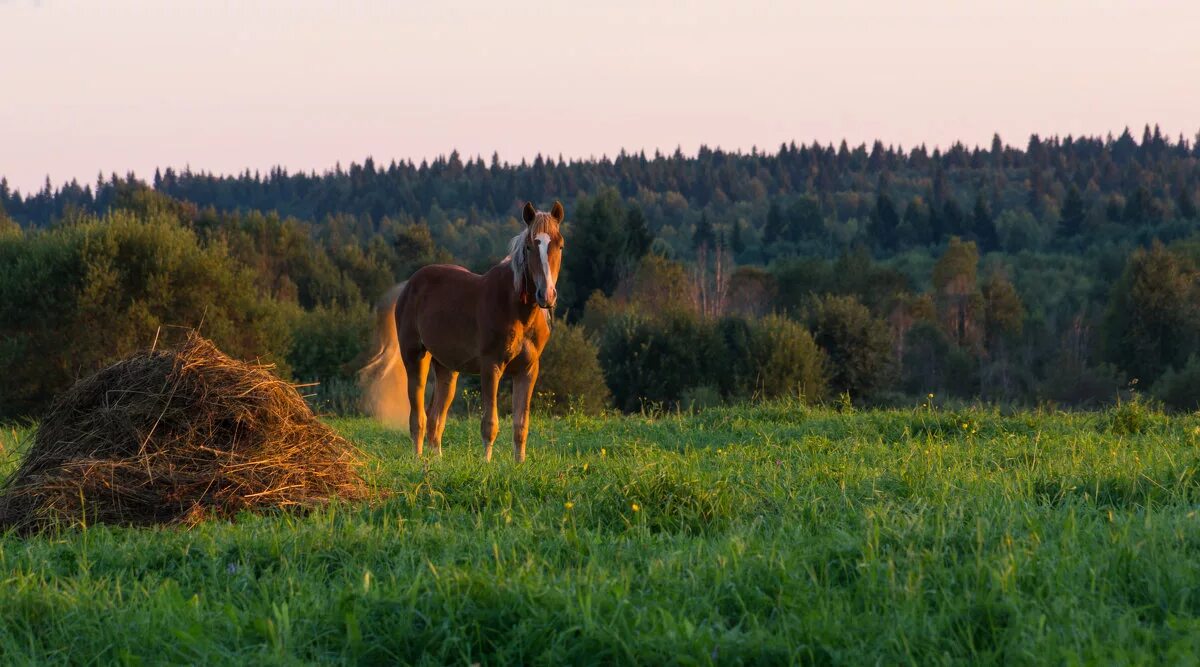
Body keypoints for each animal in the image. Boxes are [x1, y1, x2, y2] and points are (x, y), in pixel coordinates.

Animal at [357, 200, 564, 460]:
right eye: (528, 247)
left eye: (559, 245)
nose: (546, 295)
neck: (516, 309)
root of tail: (408, 285)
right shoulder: (491, 366)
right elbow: (490, 424)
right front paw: (486, 464)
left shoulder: (528, 370)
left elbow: (521, 425)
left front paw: (519, 464)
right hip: (415, 358)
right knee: (418, 417)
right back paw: (417, 459)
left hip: (446, 367)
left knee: (436, 419)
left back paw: (436, 461)